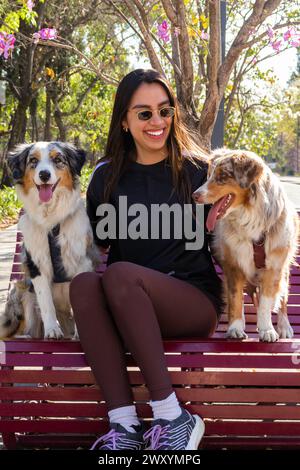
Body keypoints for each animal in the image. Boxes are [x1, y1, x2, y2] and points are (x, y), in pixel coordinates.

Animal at [0, 141, 98, 340]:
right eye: (33, 161)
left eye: (58, 159)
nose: (44, 174)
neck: (52, 220)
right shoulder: (36, 264)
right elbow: (45, 302)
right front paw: (53, 330)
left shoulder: (82, 261)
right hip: (23, 291)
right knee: (32, 325)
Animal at [192, 150, 298, 342]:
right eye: (209, 175)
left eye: (222, 176)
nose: (195, 195)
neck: (249, 217)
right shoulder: (233, 264)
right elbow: (235, 299)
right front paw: (235, 328)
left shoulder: (273, 268)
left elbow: (266, 302)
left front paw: (267, 329)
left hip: (284, 268)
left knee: (283, 298)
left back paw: (284, 326)